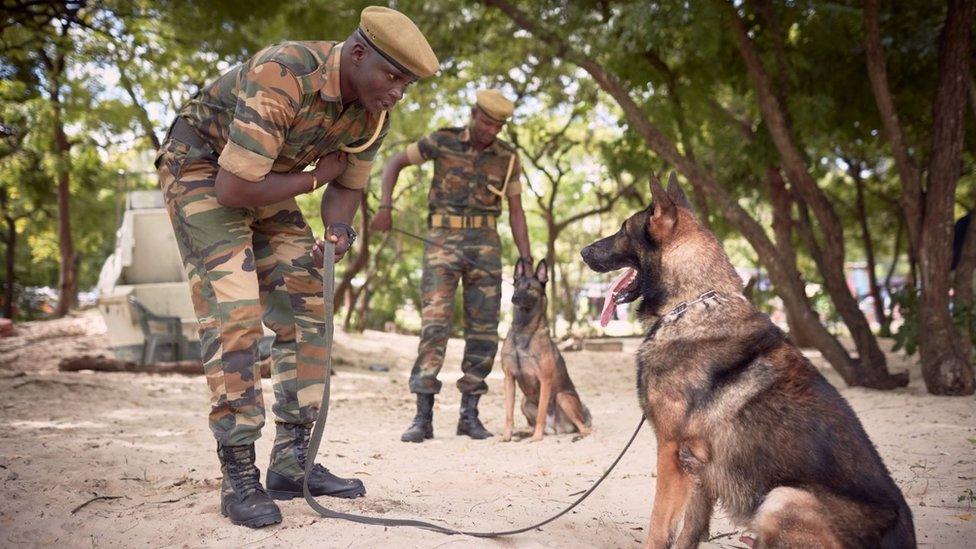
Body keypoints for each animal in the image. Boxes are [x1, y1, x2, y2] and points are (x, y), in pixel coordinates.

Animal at [500, 260, 592, 444]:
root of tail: (558, 428)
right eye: (516, 285)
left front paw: (536, 437)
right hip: (524, 402)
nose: (514, 297)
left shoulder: (545, 380)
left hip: (563, 397)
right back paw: (525, 433)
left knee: (586, 428)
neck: (523, 331)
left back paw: (576, 436)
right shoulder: (509, 378)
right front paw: (507, 436)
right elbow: (508, 414)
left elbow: (541, 413)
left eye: (530, 288)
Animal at [580, 174, 916, 548]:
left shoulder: (671, 453)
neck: (691, 303)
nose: (583, 252)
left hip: (782, 497)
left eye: (623, 229)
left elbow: (658, 528)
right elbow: (690, 528)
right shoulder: (698, 465)